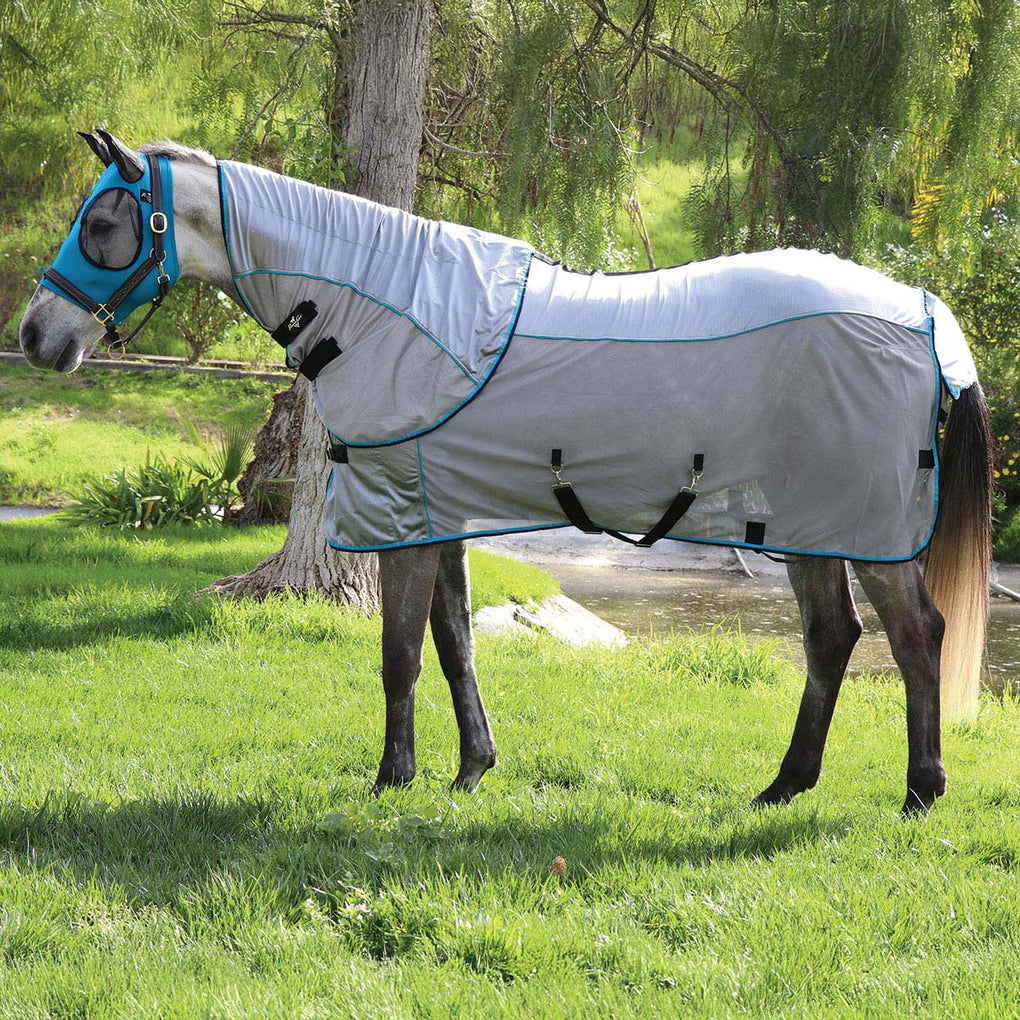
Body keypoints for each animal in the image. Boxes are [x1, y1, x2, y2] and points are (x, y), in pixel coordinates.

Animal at [18, 132, 992, 814]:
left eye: (101, 226)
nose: (36, 335)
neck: (387, 309)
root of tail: (922, 310)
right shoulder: (435, 510)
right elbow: (455, 644)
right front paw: (470, 771)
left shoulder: (401, 522)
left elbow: (400, 655)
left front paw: (391, 780)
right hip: (808, 524)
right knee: (833, 639)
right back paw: (784, 787)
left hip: (861, 524)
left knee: (915, 637)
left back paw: (918, 792)